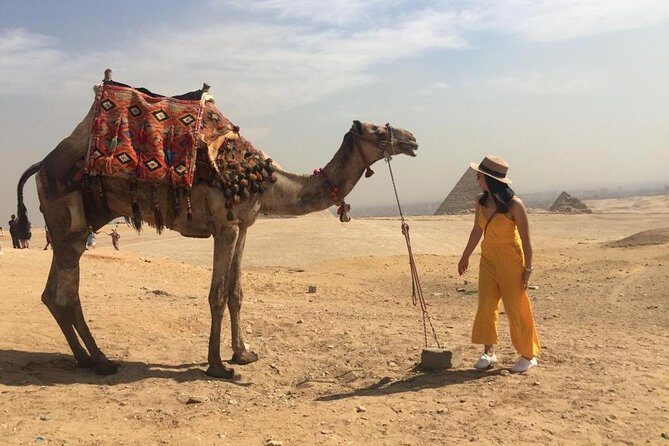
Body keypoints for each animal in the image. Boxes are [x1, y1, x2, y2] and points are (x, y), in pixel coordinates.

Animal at [16, 81, 418, 379]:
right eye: (377, 130)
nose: (412, 139)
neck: (265, 180)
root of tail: (41, 165)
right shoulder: (224, 226)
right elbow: (218, 295)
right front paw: (218, 366)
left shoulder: (243, 226)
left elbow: (237, 292)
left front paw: (243, 354)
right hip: (66, 218)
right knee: (67, 295)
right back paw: (101, 361)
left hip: (70, 228)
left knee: (52, 294)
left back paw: (85, 359)